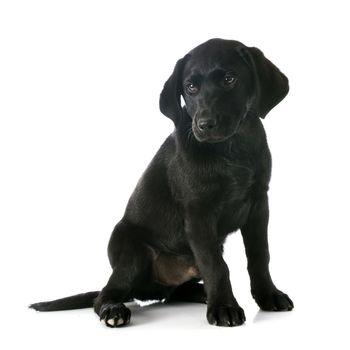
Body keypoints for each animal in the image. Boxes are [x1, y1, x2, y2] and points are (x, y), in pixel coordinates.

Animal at [29, 39, 292, 326]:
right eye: (190, 87)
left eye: (230, 79)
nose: (205, 124)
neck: (231, 149)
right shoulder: (199, 214)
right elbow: (216, 265)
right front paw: (224, 306)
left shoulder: (259, 204)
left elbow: (259, 256)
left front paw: (268, 295)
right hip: (132, 250)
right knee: (107, 293)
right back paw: (113, 310)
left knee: (175, 292)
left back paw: (201, 293)